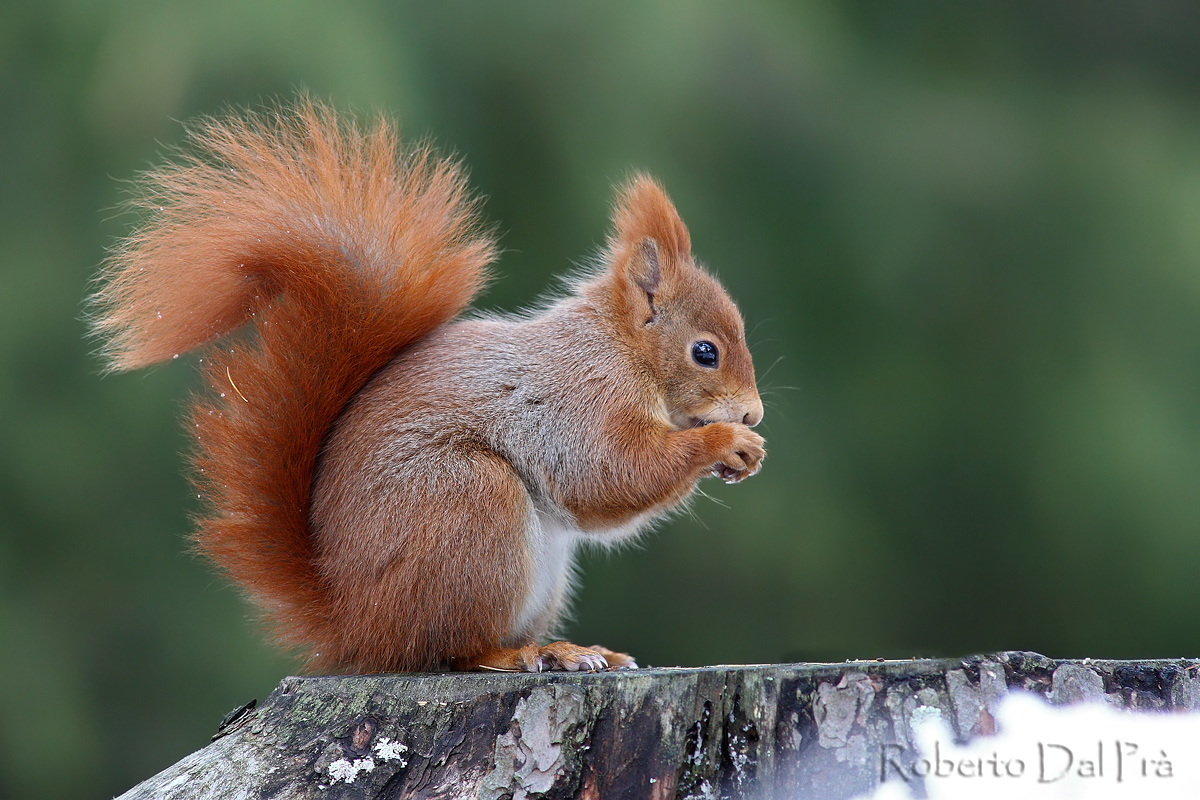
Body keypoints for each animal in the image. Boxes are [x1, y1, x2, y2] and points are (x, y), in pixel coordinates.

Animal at [92, 98, 765, 674]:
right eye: (705, 352)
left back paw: (569, 649)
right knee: (449, 650)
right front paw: (725, 443)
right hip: (469, 506)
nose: (754, 415)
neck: (623, 349)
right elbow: (607, 474)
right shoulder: (582, 396)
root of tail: (353, 624)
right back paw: (524, 654)